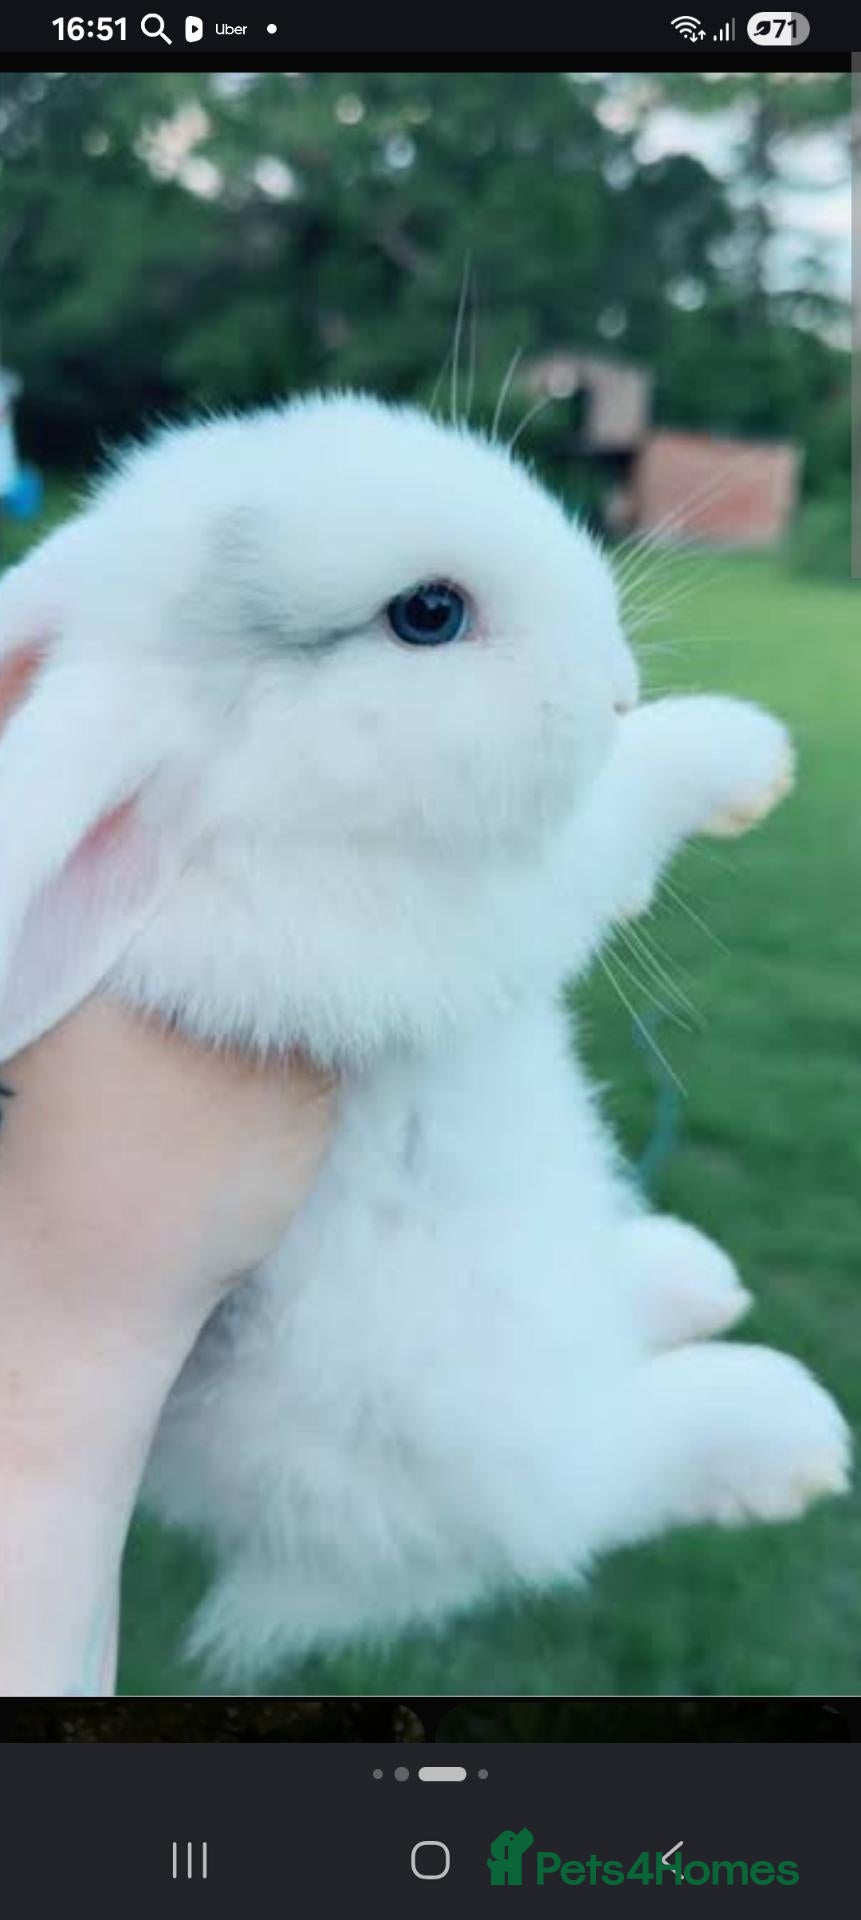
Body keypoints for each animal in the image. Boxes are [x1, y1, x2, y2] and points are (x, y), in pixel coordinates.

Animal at [0, 392, 849, 1679]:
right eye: (429, 614)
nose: (616, 685)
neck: (264, 806)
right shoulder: (479, 904)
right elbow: (605, 822)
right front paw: (744, 750)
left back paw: (685, 1274)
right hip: (496, 1419)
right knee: (592, 1487)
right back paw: (783, 1428)